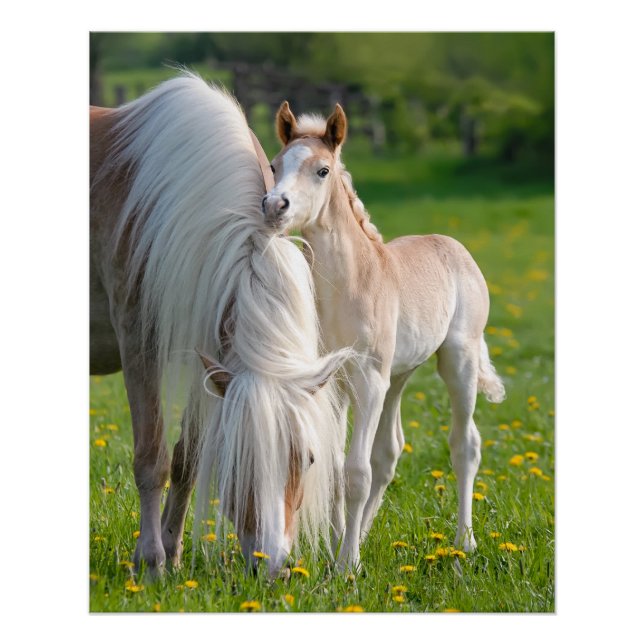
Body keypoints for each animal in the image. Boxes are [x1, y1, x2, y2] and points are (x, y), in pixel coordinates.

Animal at [90, 73, 351, 578]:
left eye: (308, 458)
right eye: (239, 459)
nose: (273, 566)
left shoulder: (207, 351)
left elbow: (187, 459)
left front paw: (170, 552)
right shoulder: (139, 340)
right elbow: (152, 459)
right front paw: (151, 563)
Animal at [262, 102, 506, 570]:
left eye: (322, 170)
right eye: (274, 165)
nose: (274, 205)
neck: (348, 285)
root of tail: (453, 245)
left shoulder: (368, 378)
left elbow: (357, 471)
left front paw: (346, 566)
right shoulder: (334, 383)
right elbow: (340, 468)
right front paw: (338, 547)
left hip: (456, 361)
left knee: (464, 444)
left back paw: (464, 542)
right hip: (397, 376)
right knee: (389, 452)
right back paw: (363, 534)